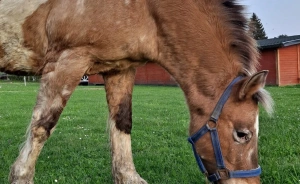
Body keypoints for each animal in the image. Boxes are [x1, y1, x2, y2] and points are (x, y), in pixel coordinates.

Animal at [0, 0, 274, 184]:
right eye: (243, 134)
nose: (251, 183)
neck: (146, 9)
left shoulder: (120, 69)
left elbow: (122, 124)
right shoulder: (67, 60)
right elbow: (42, 126)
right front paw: (20, 176)